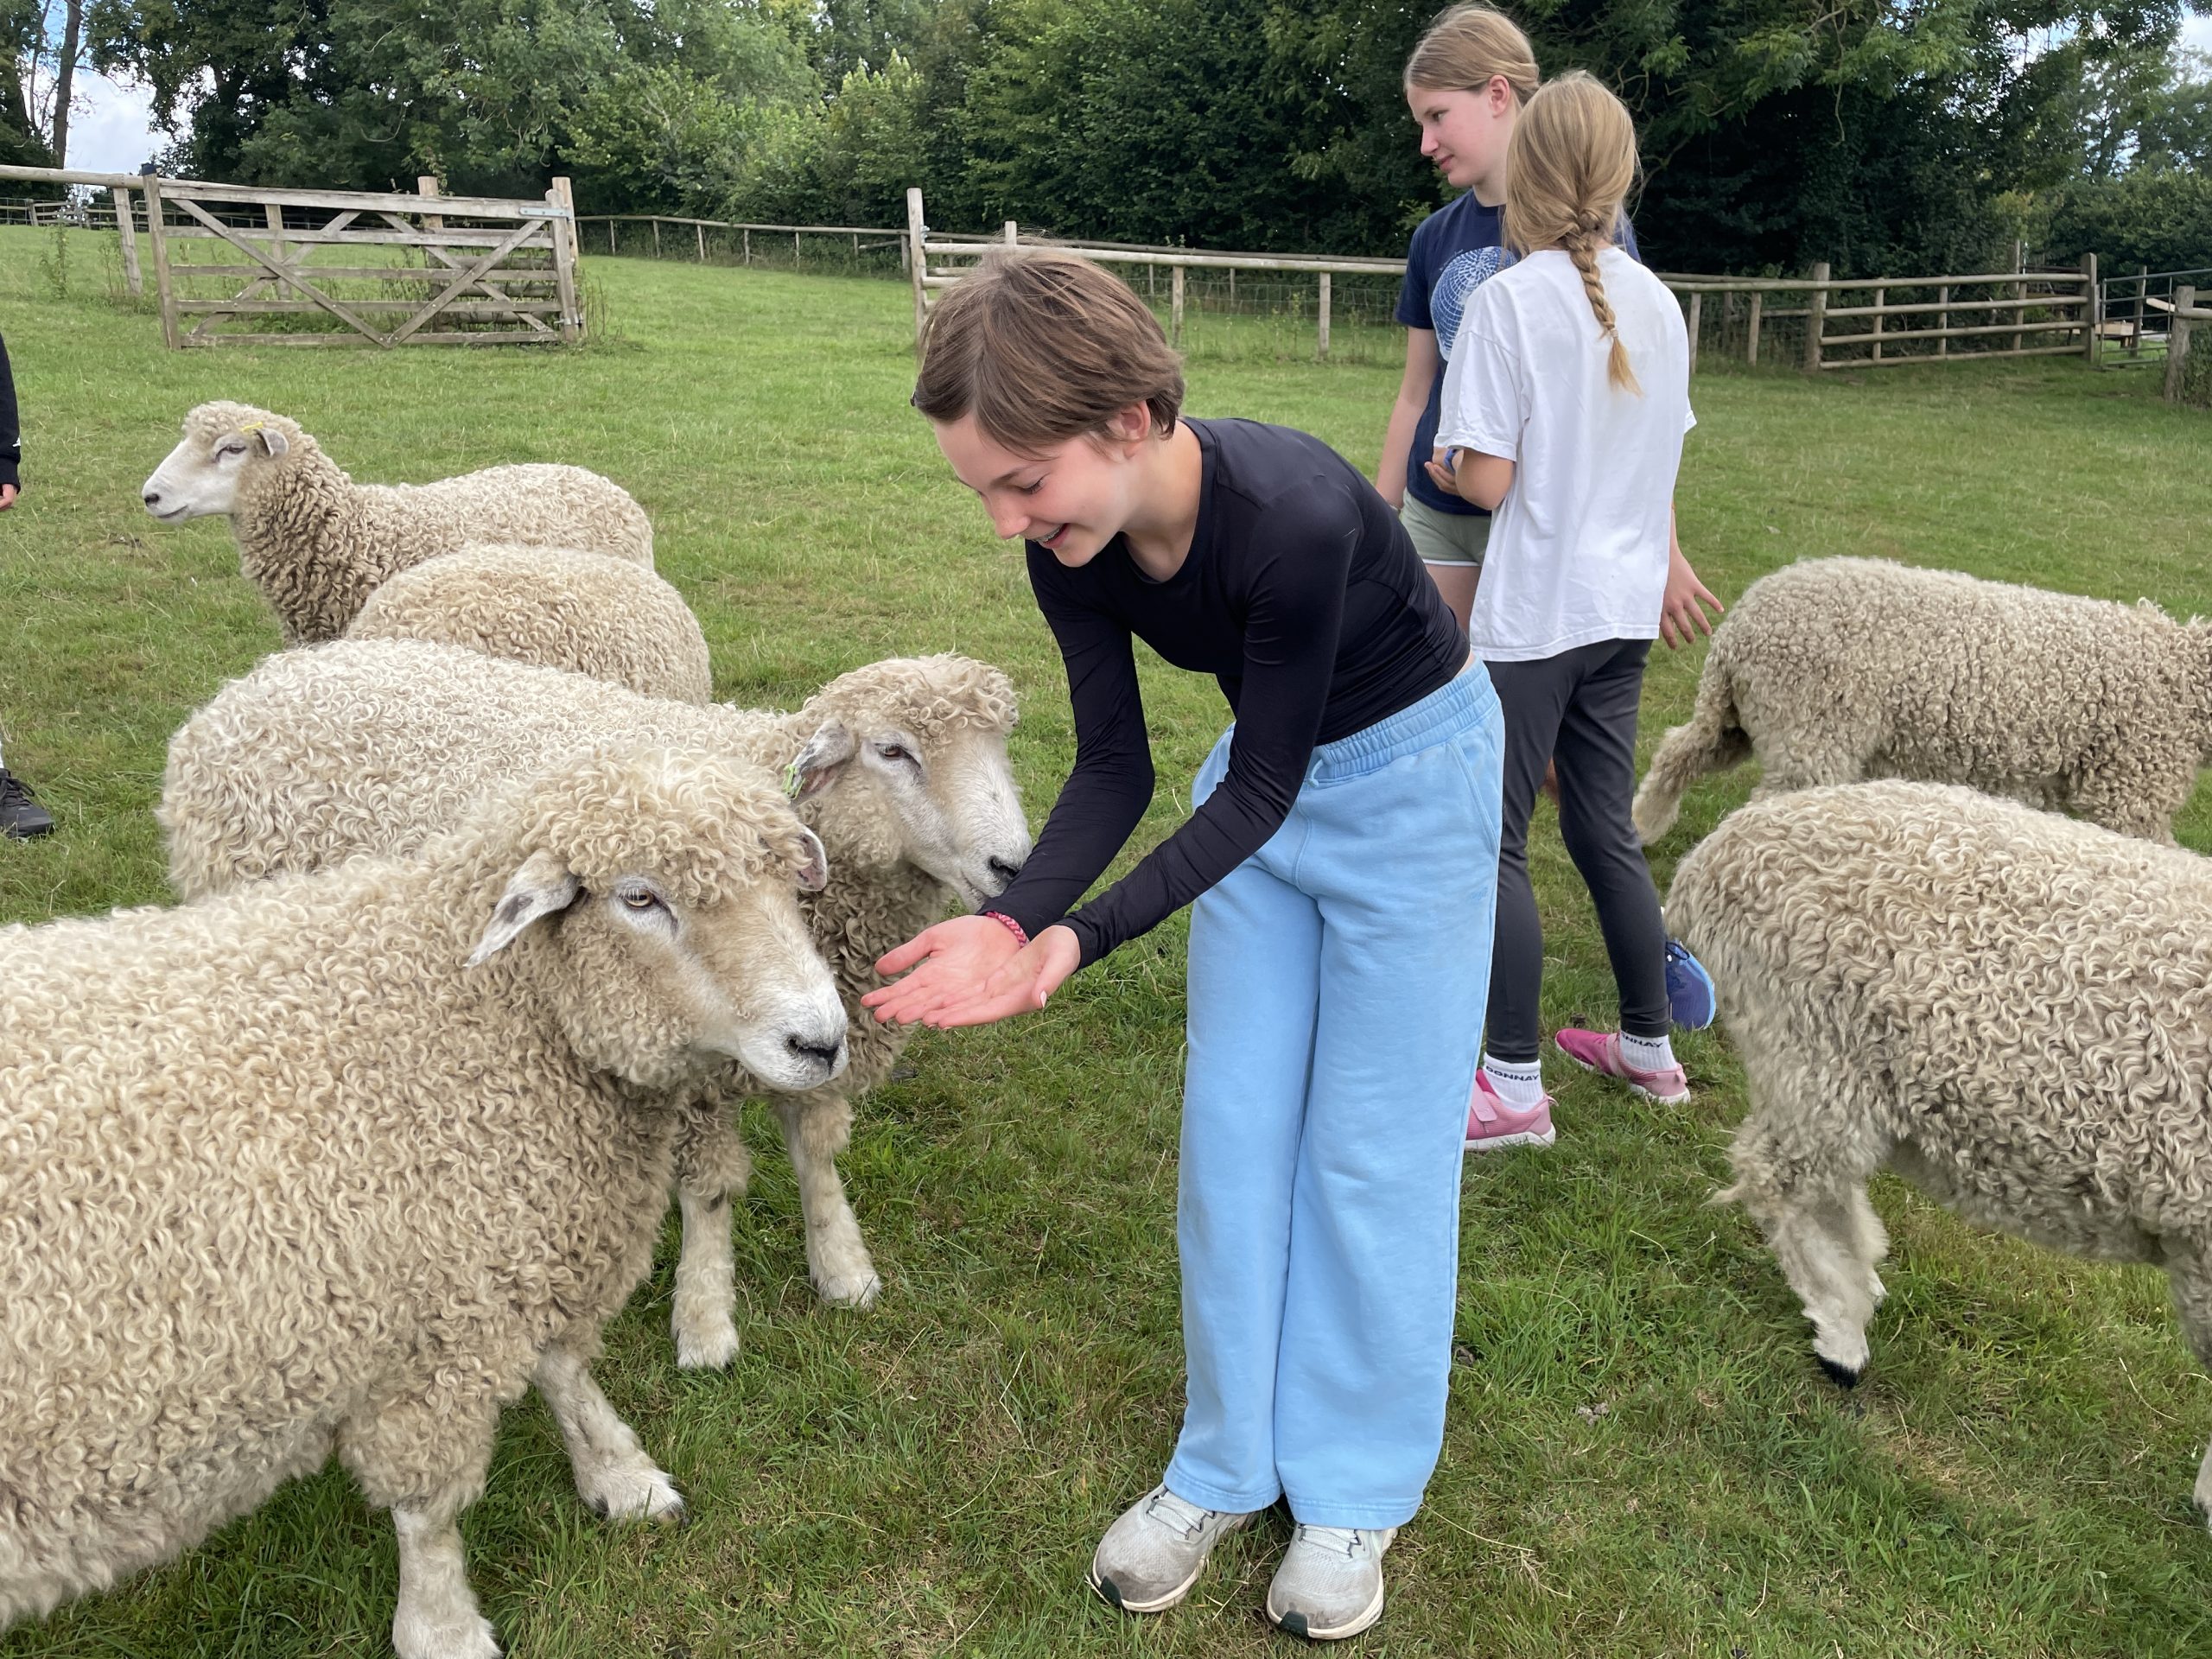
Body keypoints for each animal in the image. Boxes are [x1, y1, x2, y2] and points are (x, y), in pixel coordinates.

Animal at [0, 744, 846, 1656]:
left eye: (786, 880)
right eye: (640, 897)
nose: (822, 1041)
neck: (463, 1013)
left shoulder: (505, 1240)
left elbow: (563, 1368)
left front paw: (620, 1474)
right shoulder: (427, 1326)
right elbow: (430, 1510)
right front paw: (443, 1628)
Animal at [159, 639, 1031, 1360]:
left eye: (1001, 746)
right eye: (894, 750)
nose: (1014, 866)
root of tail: (246, 688)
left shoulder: (816, 1030)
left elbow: (816, 1152)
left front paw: (843, 1266)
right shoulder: (689, 1060)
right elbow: (711, 1191)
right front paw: (705, 1319)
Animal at [1631, 557, 2212, 846]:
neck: (2187, 677)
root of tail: (1739, 630)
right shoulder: (2129, 790)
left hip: (1743, 717)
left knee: (1679, 751)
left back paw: (1645, 823)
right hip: (1811, 730)